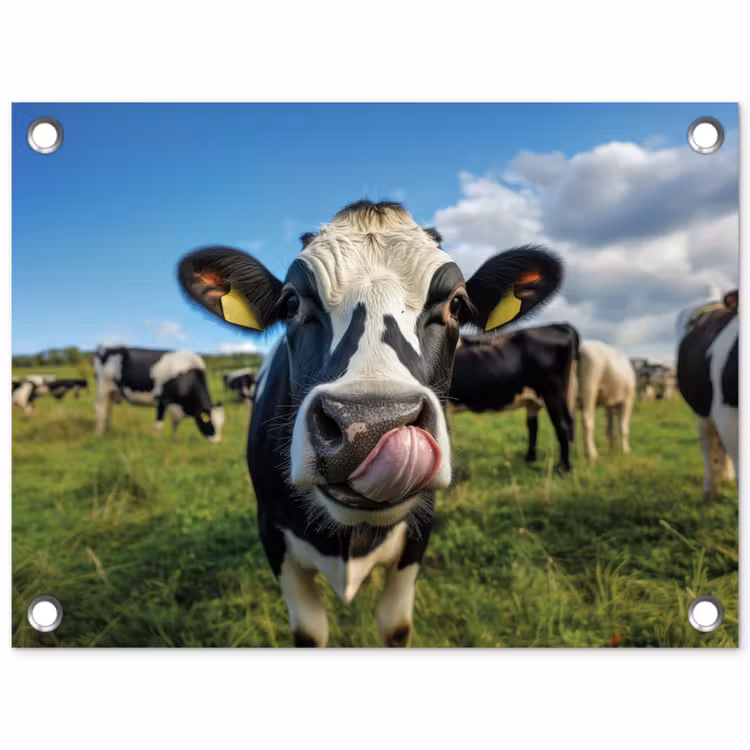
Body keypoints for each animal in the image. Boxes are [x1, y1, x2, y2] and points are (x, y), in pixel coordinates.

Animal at [92, 346, 225, 441]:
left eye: (221, 424)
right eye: (209, 423)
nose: (216, 442)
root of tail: (104, 349)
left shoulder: (176, 407)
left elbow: (175, 425)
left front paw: (174, 440)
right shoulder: (162, 400)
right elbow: (159, 424)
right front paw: (157, 441)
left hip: (111, 392)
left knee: (108, 410)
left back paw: (109, 430)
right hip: (101, 389)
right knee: (100, 410)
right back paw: (99, 433)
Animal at [177, 199, 563, 647]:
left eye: (457, 305)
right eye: (291, 303)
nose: (370, 426)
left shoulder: (418, 533)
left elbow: (395, 626)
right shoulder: (273, 536)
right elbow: (309, 632)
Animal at [447, 323, 580, 472]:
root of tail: (561, 325)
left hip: (553, 394)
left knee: (562, 426)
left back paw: (563, 468)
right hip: (553, 396)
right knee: (537, 425)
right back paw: (531, 460)